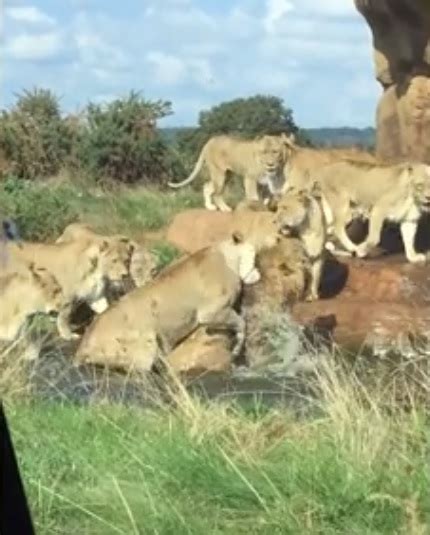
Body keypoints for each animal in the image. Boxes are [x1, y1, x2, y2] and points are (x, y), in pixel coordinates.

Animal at [74, 234, 268, 372]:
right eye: (255, 257)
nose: (259, 272)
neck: (228, 255)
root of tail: (83, 344)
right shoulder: (211, 312)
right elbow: (241, 324)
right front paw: (237, 350)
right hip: (145, 344)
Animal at [166, 132, 294, 211]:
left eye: (275, 152)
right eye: (263, 152)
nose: (270, 164)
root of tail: (210, 141)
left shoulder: (267, 184)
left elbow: (267, 199)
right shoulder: (250, 178)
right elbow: (254, 197)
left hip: (227, 175)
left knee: (207, 186)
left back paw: (210, 207)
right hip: (219, 174)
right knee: (217, 194)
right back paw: (225, 209)